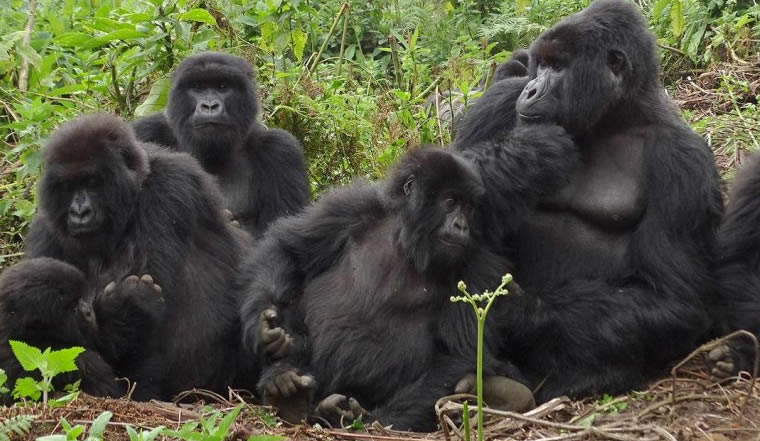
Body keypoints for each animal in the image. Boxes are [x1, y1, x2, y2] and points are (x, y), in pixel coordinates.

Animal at [240, 142, 572, 430]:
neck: (407, 240)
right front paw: (263, 327)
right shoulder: (349, 207)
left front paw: (373, 421)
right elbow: (288, 248)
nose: (462, 226)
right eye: (451, 202)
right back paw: (284, 384)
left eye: (469, 208)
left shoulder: (478, 265)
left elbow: (463, 354)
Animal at [452, 0, 724, 400]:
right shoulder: (498, 102)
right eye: (540, 65)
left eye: (558, 67)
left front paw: (518, 309)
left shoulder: (686, 163)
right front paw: (529, 157)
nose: (530, 89)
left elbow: (674, 297)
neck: (612, 119)